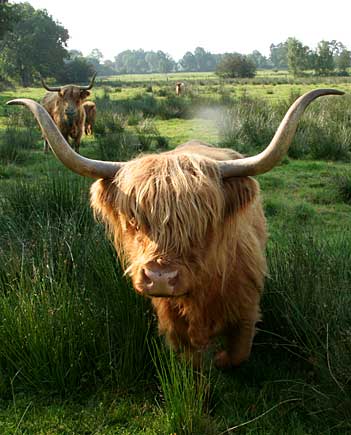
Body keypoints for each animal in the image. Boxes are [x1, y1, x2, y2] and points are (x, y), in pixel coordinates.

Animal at [6, 90, 346, 370]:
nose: (160, 278)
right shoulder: (169, 318)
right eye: (134, 220)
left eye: (202, 220)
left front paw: (220, 359)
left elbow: (238, 353)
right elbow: (188, 360)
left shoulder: (247, 307)